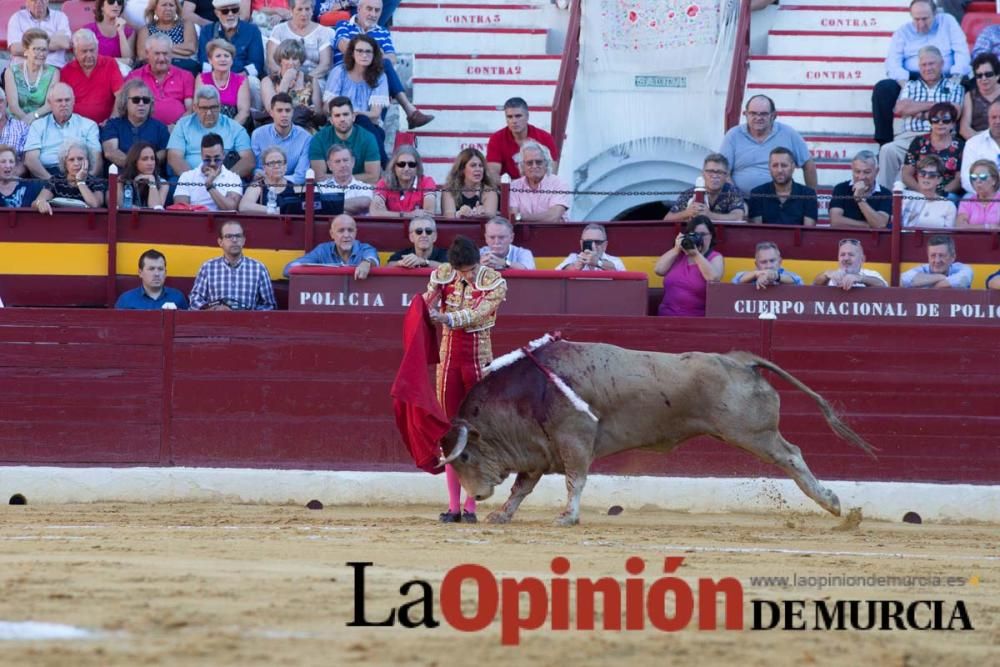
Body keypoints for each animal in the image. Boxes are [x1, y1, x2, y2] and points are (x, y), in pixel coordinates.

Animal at [442, 344, 880, 528]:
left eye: (463, 457)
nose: (476, 497)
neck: (531, 391)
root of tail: (740, 360)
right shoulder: (539, 451)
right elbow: (522, 488)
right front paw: (502, 515)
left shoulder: (575, 440)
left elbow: (575, 480)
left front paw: (567, 517)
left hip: (752, 433)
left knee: (791, 454)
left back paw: (833, 504)